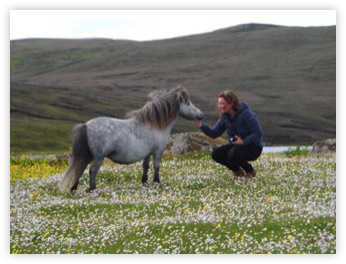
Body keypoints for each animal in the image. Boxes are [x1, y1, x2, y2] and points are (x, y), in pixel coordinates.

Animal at [59, 86, 203, 192]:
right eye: (188, 103)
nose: (201, 115)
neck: (155, 125)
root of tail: (86, 125)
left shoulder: (147, 153)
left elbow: (145, 166)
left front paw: (144, 182)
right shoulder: (157, 151)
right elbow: (156, 166)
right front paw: (157, 182)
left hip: (88, 155)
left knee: (80, 168)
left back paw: (74, 188)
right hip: (99, 157)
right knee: (92, 171)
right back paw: (92, 189)